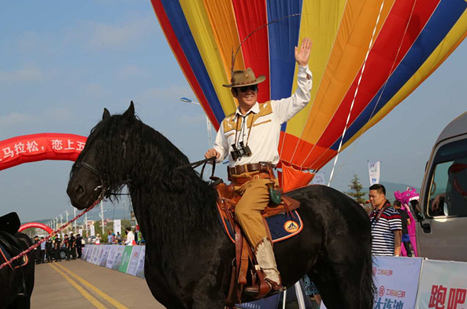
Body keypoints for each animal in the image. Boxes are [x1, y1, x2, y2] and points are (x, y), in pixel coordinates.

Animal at [66, 103, 374, 308]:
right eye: (90, 140)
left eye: (115, 142)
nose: (75, 189)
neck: (186, 225)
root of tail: (355, 207)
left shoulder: (206, 302)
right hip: (325, 277)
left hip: (346, 279)